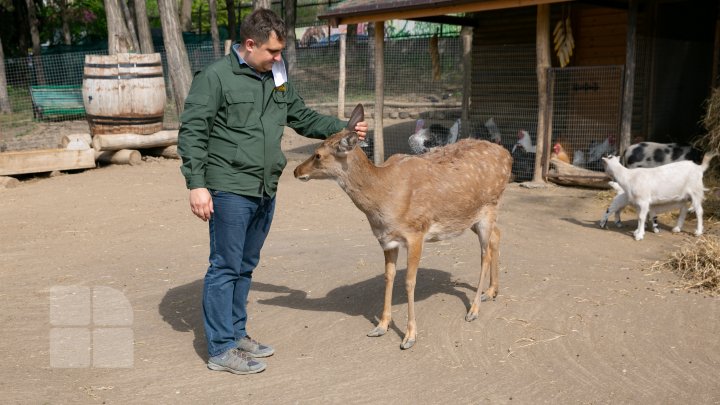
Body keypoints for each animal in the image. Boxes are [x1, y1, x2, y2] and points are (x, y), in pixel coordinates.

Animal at [292, 104, 512, 348]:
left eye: (318, 155)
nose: (296, 171)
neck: (384, 199)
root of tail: (507, 155)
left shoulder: (416, 233)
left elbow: (409, 281)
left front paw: (409, 336)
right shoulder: (387, 240)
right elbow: (389, 277)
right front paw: (381, 326)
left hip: (489, 207)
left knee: (484, 254)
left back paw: (474, 309)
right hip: (470, 217)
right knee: (497, 235)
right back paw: (491, 292)